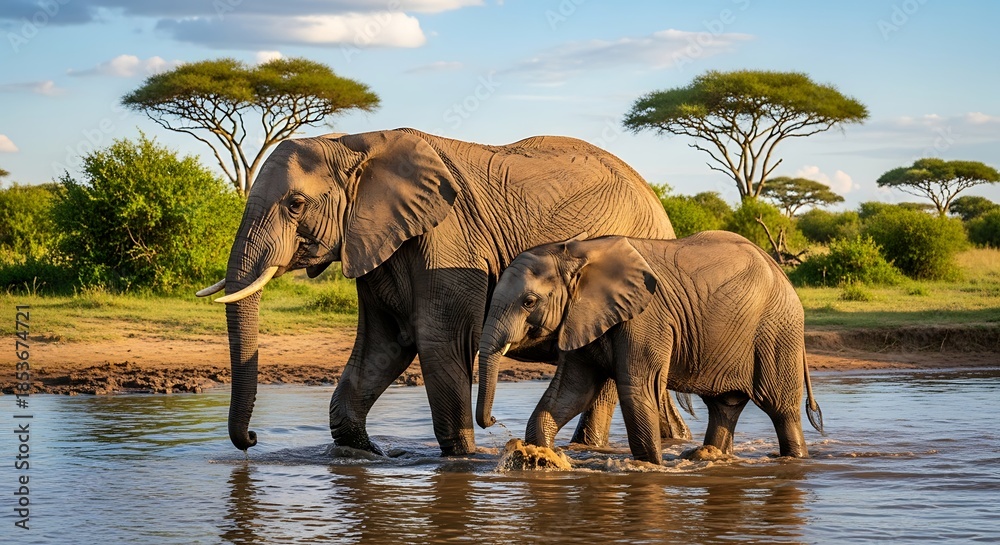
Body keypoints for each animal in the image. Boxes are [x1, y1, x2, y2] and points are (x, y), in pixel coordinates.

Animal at [196, 128, 692, 455]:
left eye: (296, 204)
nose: (252, 439)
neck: (354, 142)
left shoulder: (448, 236)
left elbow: (440, 341)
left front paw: (463, 460)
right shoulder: (378, 239)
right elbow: (383, 347)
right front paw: (365, 454)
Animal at [476, 231, 824, 464]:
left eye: (529, 301)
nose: (493, 421)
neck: (577, 252)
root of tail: (781, 271)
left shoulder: (646, 317)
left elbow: (637, 389)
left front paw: (651, 467)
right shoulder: (581, 316)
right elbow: (572, 392)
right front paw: (541, 457)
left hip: (778, 331)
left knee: (780, 408)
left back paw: (794, 459)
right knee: (724, 406)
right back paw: (709, 456)